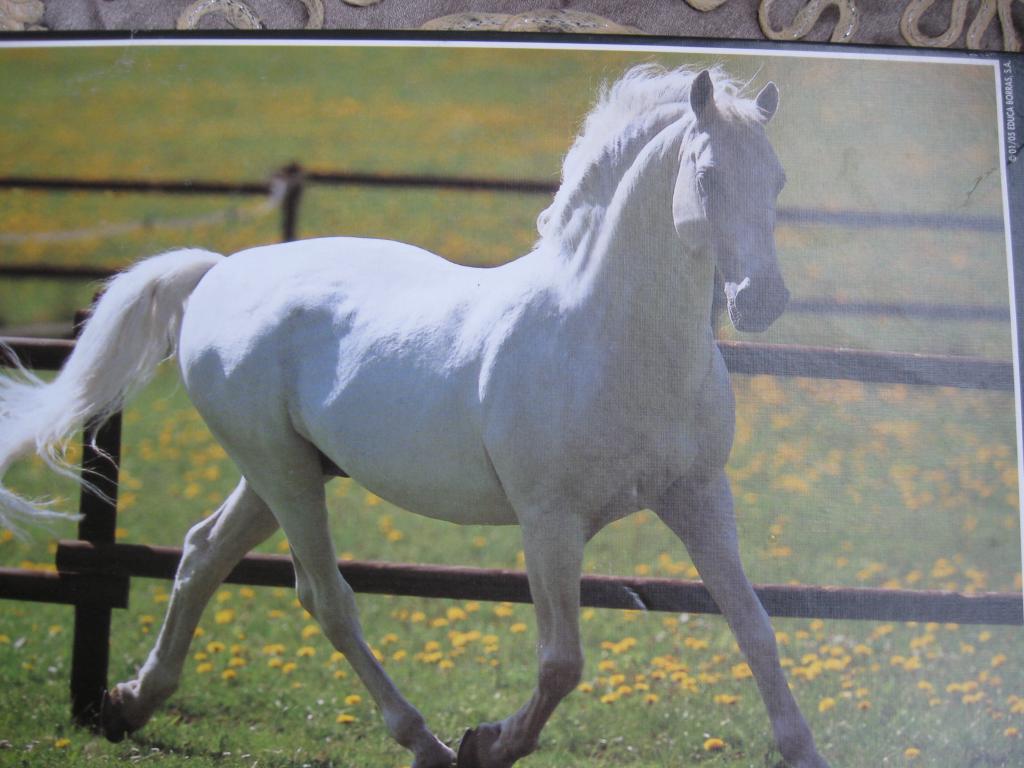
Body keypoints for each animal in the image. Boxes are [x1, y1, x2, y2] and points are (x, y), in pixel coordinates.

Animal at [0, 65, 829, 768]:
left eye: (779, 178)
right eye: (710, 176)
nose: (762, 300)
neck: (612, 337)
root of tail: (218, 271)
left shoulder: (698, 498)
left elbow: (756, 628)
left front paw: (805, 752)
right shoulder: (550, 520)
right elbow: (561, 663)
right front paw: (487, 743)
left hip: (282, 472)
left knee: (203, 554)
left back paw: (128, 705)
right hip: (282, 473)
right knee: (326, 598)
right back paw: (425, 742)